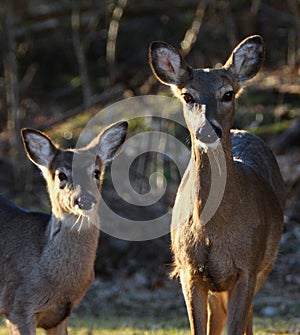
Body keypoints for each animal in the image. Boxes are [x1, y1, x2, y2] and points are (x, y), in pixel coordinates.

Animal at [150, 35, 286, 334]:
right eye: (188, 96)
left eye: (228, 94)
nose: (207, 129)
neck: (213, 231)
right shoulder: (189, 271)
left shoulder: (248, 267)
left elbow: (237, 326)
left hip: (265, 264)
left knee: (248, 319)